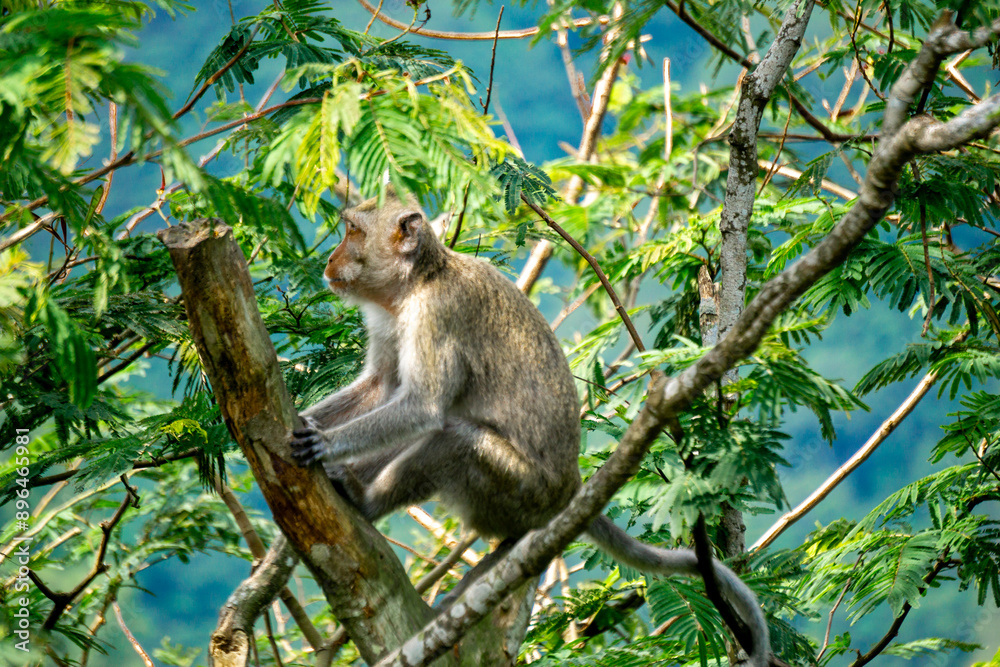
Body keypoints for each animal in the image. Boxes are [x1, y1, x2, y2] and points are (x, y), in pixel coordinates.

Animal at [291, 189, 771, 667]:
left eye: (354, 232)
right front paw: (302, 421)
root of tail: (571, 487)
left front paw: (324, 442)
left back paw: (365, 500)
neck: (419, 281)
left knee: (453, 438)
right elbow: (382, 388)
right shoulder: (393, 320)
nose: (330, 260)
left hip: (519, 488)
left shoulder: (437, 315)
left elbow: (421, 406)